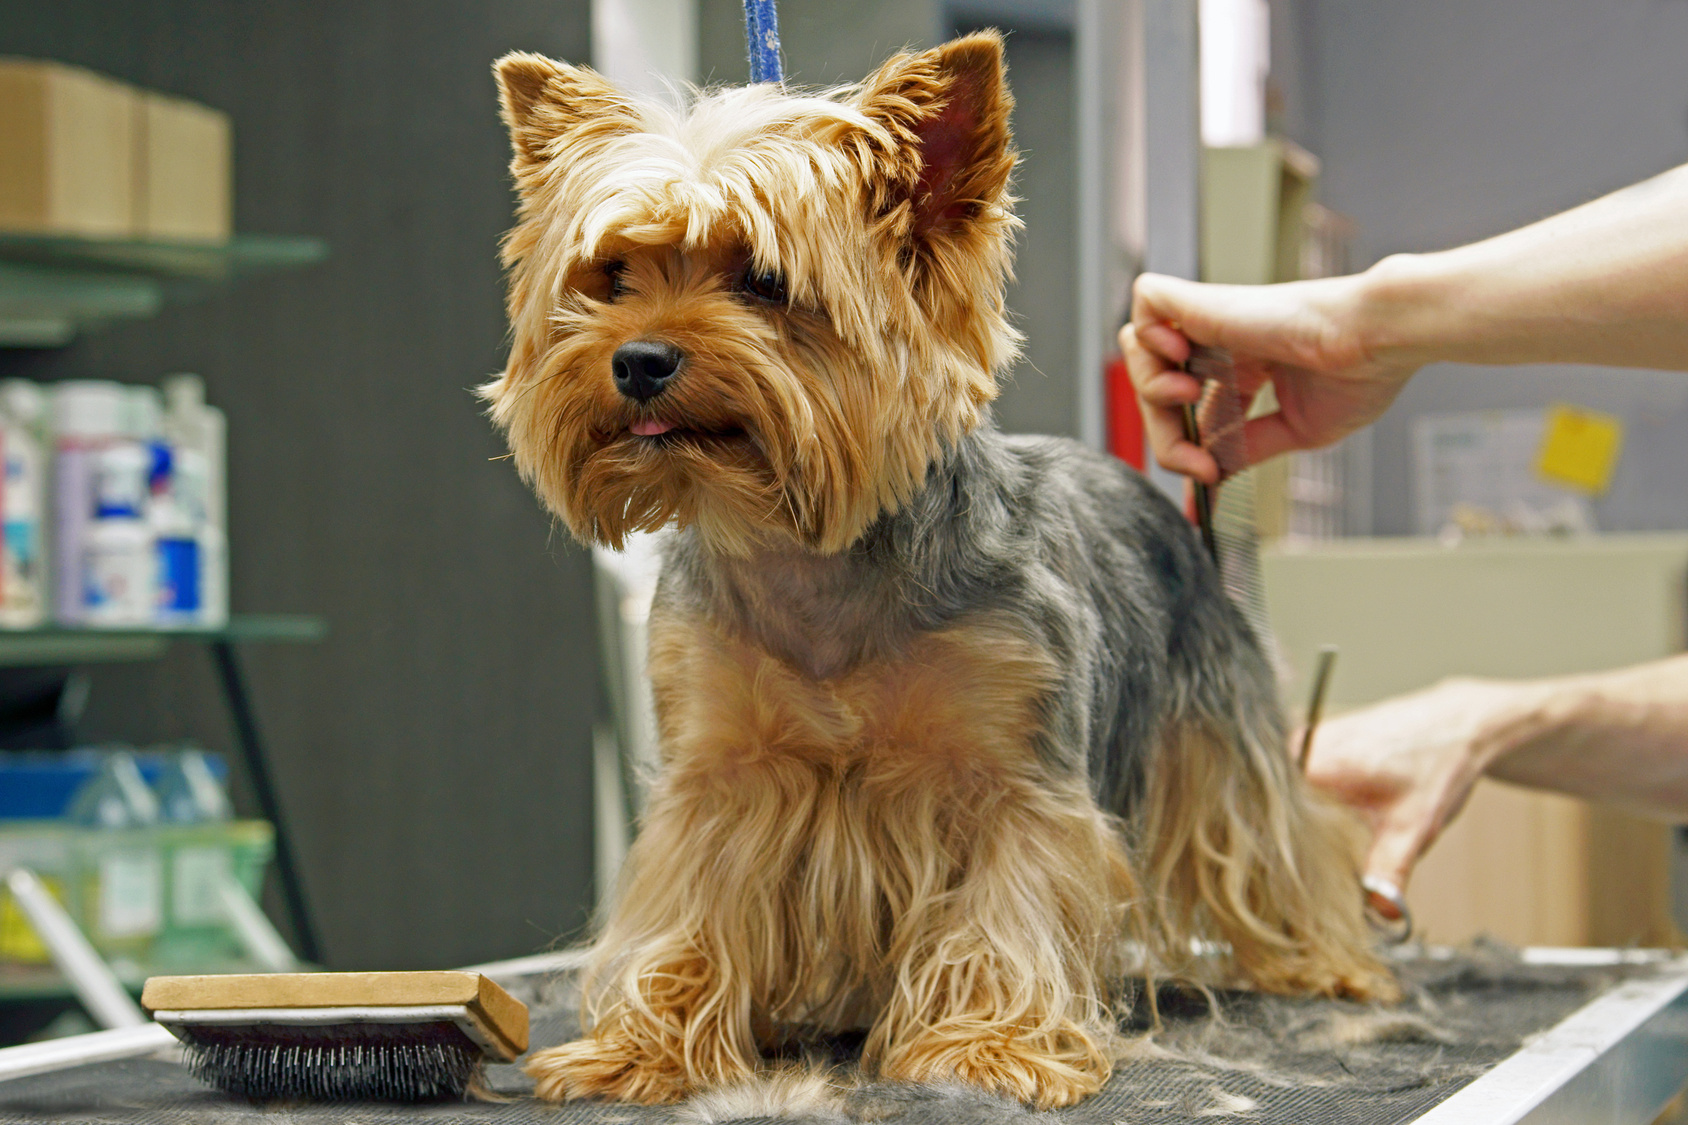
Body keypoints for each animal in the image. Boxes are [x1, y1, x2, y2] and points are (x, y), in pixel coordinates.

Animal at [482, 32, 1390, 1101]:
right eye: (613, 274)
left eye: (762, 280)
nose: (637, 360)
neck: (806, 553)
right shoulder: (718, 778)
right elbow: (688, 910)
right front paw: (644, 1042)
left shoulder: (1014, 780)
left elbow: (1006, 906)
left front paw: (984, 1043)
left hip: (1218, 728)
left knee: (1277, 838)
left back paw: (1325, 961)